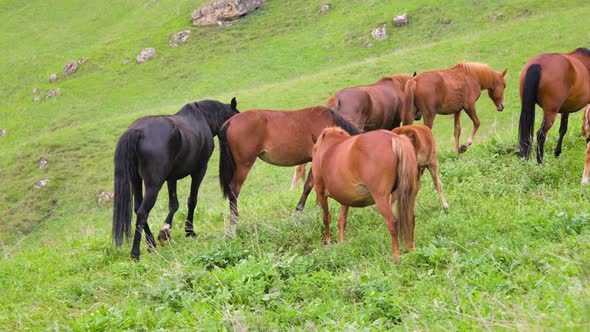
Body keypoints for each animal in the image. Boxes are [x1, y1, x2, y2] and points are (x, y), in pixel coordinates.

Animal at [112, 97, 239, 258]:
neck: (202, 119)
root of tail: (137, 131)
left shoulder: (171, 178)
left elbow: (174, 204)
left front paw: (166, 232)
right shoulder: (199, 170)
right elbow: (192, 200)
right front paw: (189, 231)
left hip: (136, 181)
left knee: (137, 209)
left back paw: (151, 242)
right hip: (153, 185)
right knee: (142, 212)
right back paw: (135, 253)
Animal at [220, 107, 364, 232]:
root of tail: (230, 122)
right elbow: (308, 186)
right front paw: (299, 212)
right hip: (244, 165)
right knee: (234, 189)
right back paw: (234, 224)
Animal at [314, 127, 420, 264]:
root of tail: (393, 138)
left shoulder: (320, 193)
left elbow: (326, 218)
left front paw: (328, 241)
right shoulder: (346, 199)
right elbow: (342, 221)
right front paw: (341, 244)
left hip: (381, 198)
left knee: (392, 222)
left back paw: (395, 258)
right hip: (409, 194)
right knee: (411, 218)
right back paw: (412, 250)